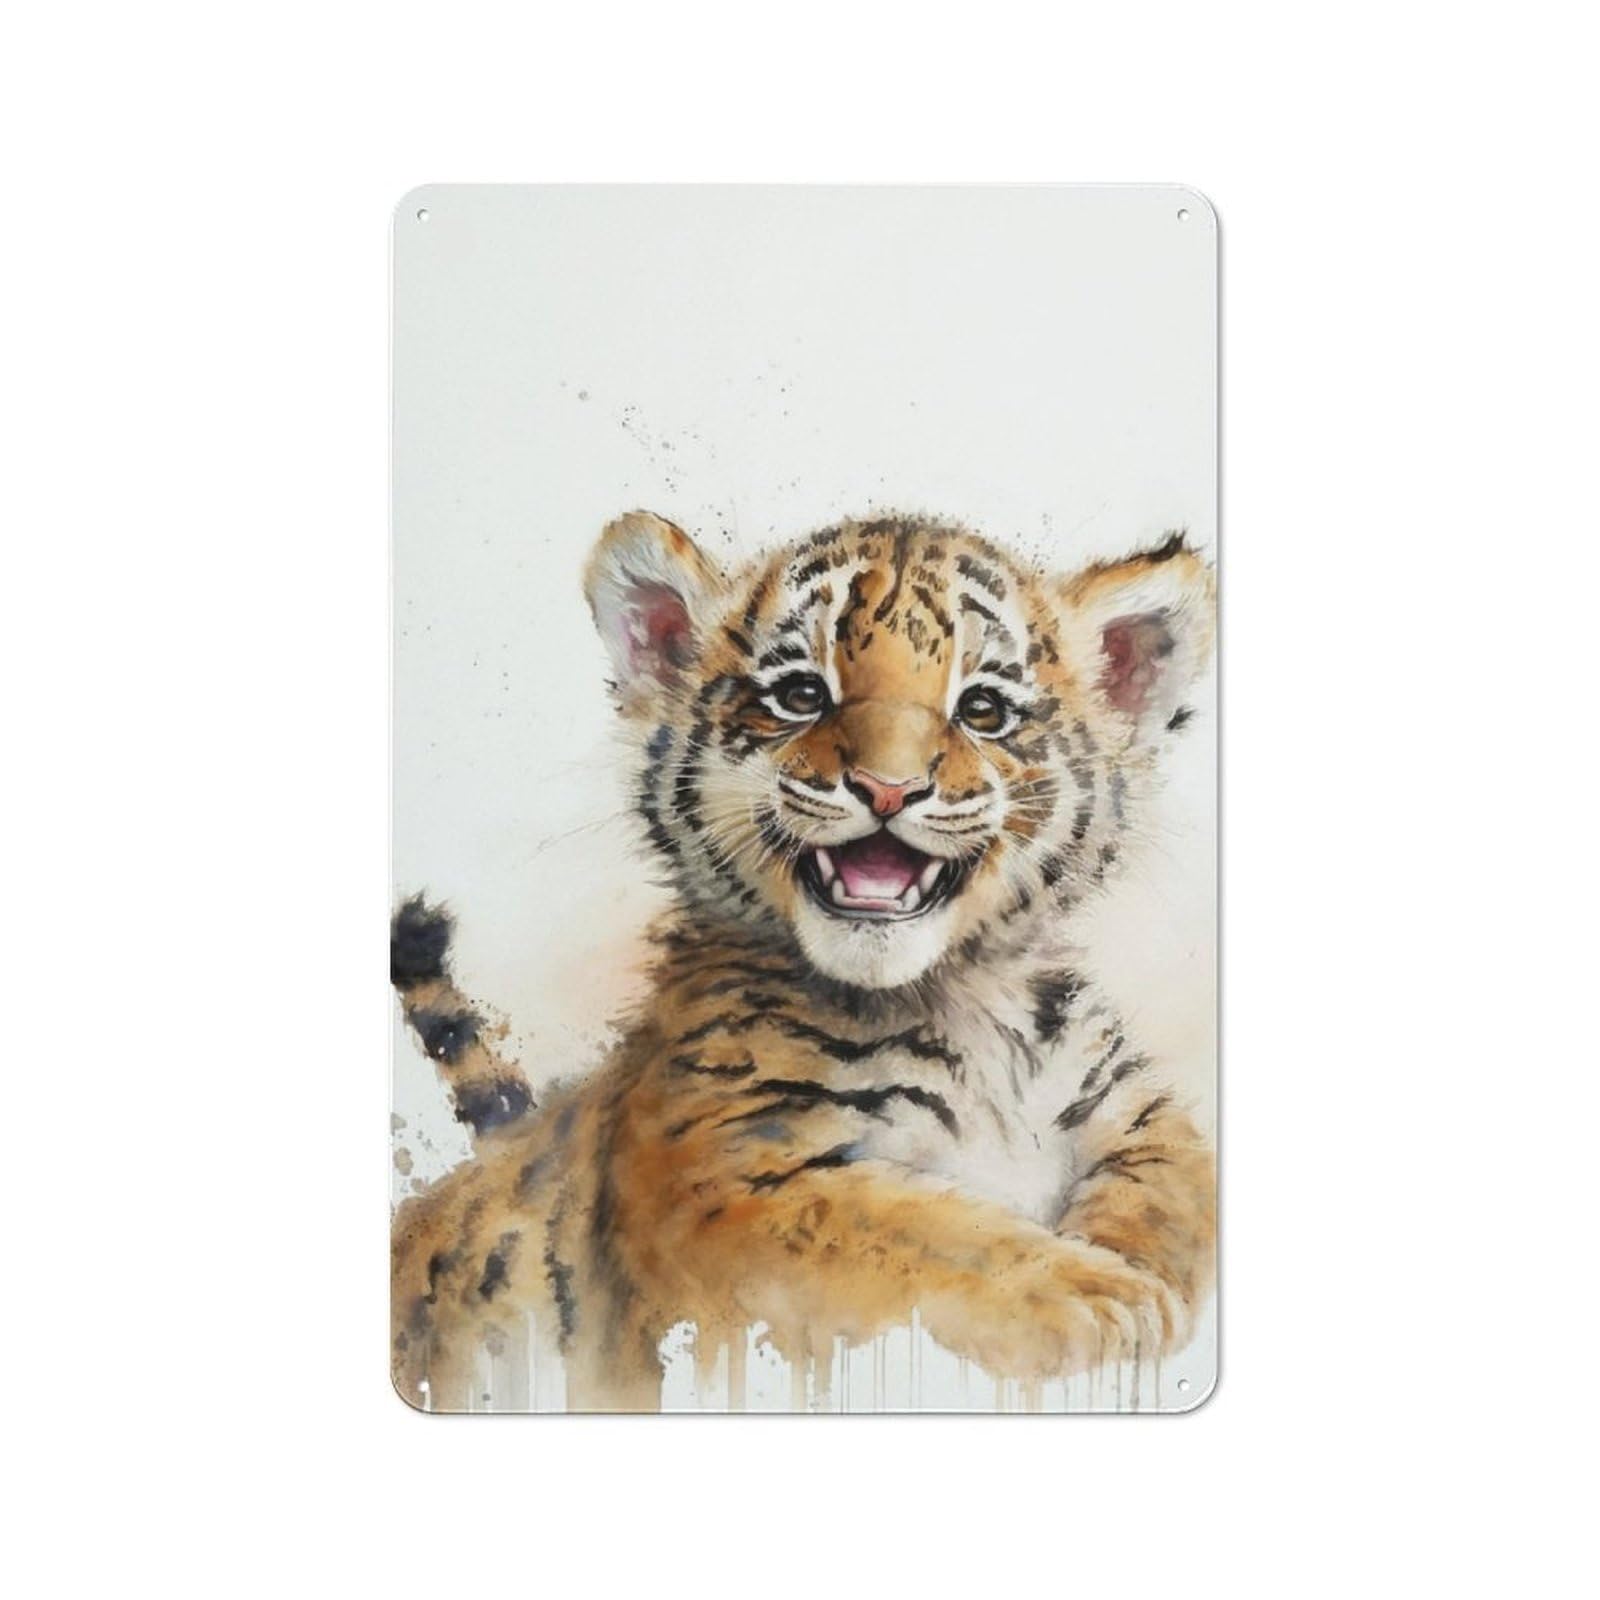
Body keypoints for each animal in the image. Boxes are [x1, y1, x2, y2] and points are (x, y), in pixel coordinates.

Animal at [391, 509, 1216, 1411]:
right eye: (801, 696)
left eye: (983, 709)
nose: (888, 789)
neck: (964, 1006)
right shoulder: (716, 1182)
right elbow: (916, 1233)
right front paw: (1103, 1297)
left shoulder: (1143, 1117)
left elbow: (1173, 1199)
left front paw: (1143, 1287)